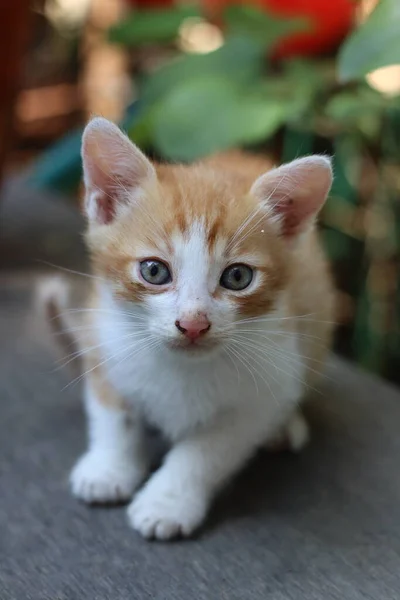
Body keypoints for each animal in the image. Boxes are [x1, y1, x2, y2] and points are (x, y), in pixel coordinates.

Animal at [64, 116, 334, 540]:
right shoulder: (102, 335)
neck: (182, 368)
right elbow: (114, 416)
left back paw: (285, 426)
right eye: (154, 270)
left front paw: (166, 502)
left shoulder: (263, 390)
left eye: (238, 277)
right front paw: (108, 469)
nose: (193, 323)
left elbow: (206, 451)